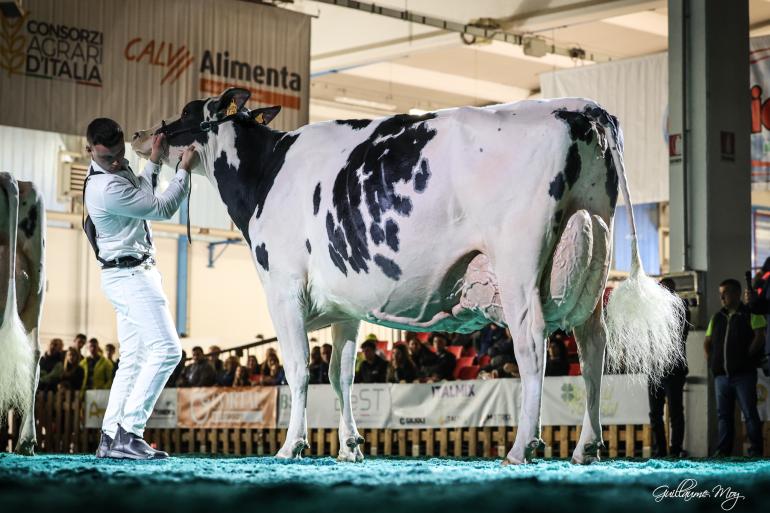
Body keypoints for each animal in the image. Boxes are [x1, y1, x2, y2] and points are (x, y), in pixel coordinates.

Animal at [134, 88, 684, 464]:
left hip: (520, 263)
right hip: (593, 254)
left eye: (187, 112)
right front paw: (350, 447)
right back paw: (586, 447)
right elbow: (340, 376)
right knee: (592, 352)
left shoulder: (283, 288)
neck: (265, 173)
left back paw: (522, 447)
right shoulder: (346, 308)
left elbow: (298, 372)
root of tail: (580, 106)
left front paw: (292, 446)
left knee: (533, 348)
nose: (142, 134)